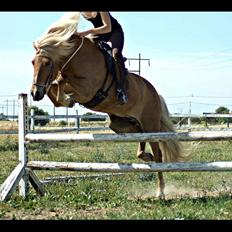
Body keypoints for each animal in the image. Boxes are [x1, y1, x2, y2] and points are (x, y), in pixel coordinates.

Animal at [30, 12, 187, 198]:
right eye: (33, 62)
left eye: (47, 63)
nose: (35, 94)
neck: (77, 58)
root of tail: (155, 94)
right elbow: (56, 89)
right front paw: (65, 99)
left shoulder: (88, 89)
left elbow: (62, 82)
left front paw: (67, 98)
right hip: (121, 124)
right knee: (141, 139)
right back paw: (145, 157)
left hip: (150, 124)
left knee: (158, 154)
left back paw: (160, 191)